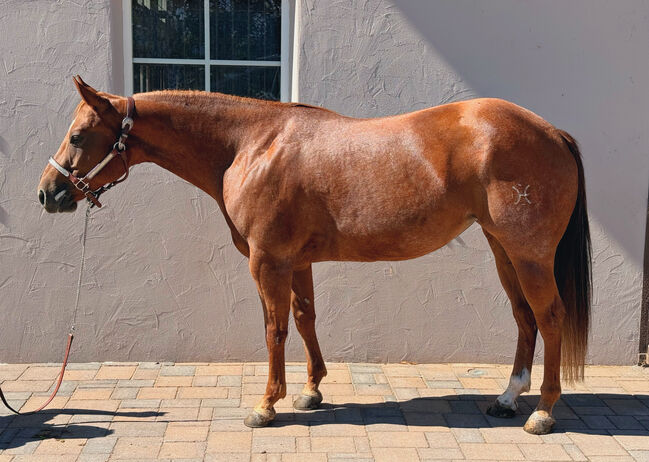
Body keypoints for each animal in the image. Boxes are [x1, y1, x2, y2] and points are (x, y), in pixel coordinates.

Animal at [38, 76, 591, 435]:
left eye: (78, 135)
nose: (48, 194)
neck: (250, 146)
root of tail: (552, 132)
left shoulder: (267, 261)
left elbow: (274, 329)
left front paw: (266, 404)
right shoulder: (296, 261)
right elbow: (305, 320)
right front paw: (311, 391)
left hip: (529, 253)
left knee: (550, 316)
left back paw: (542, 411)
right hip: (503, 250)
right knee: (524, 317)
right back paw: (507, 399)